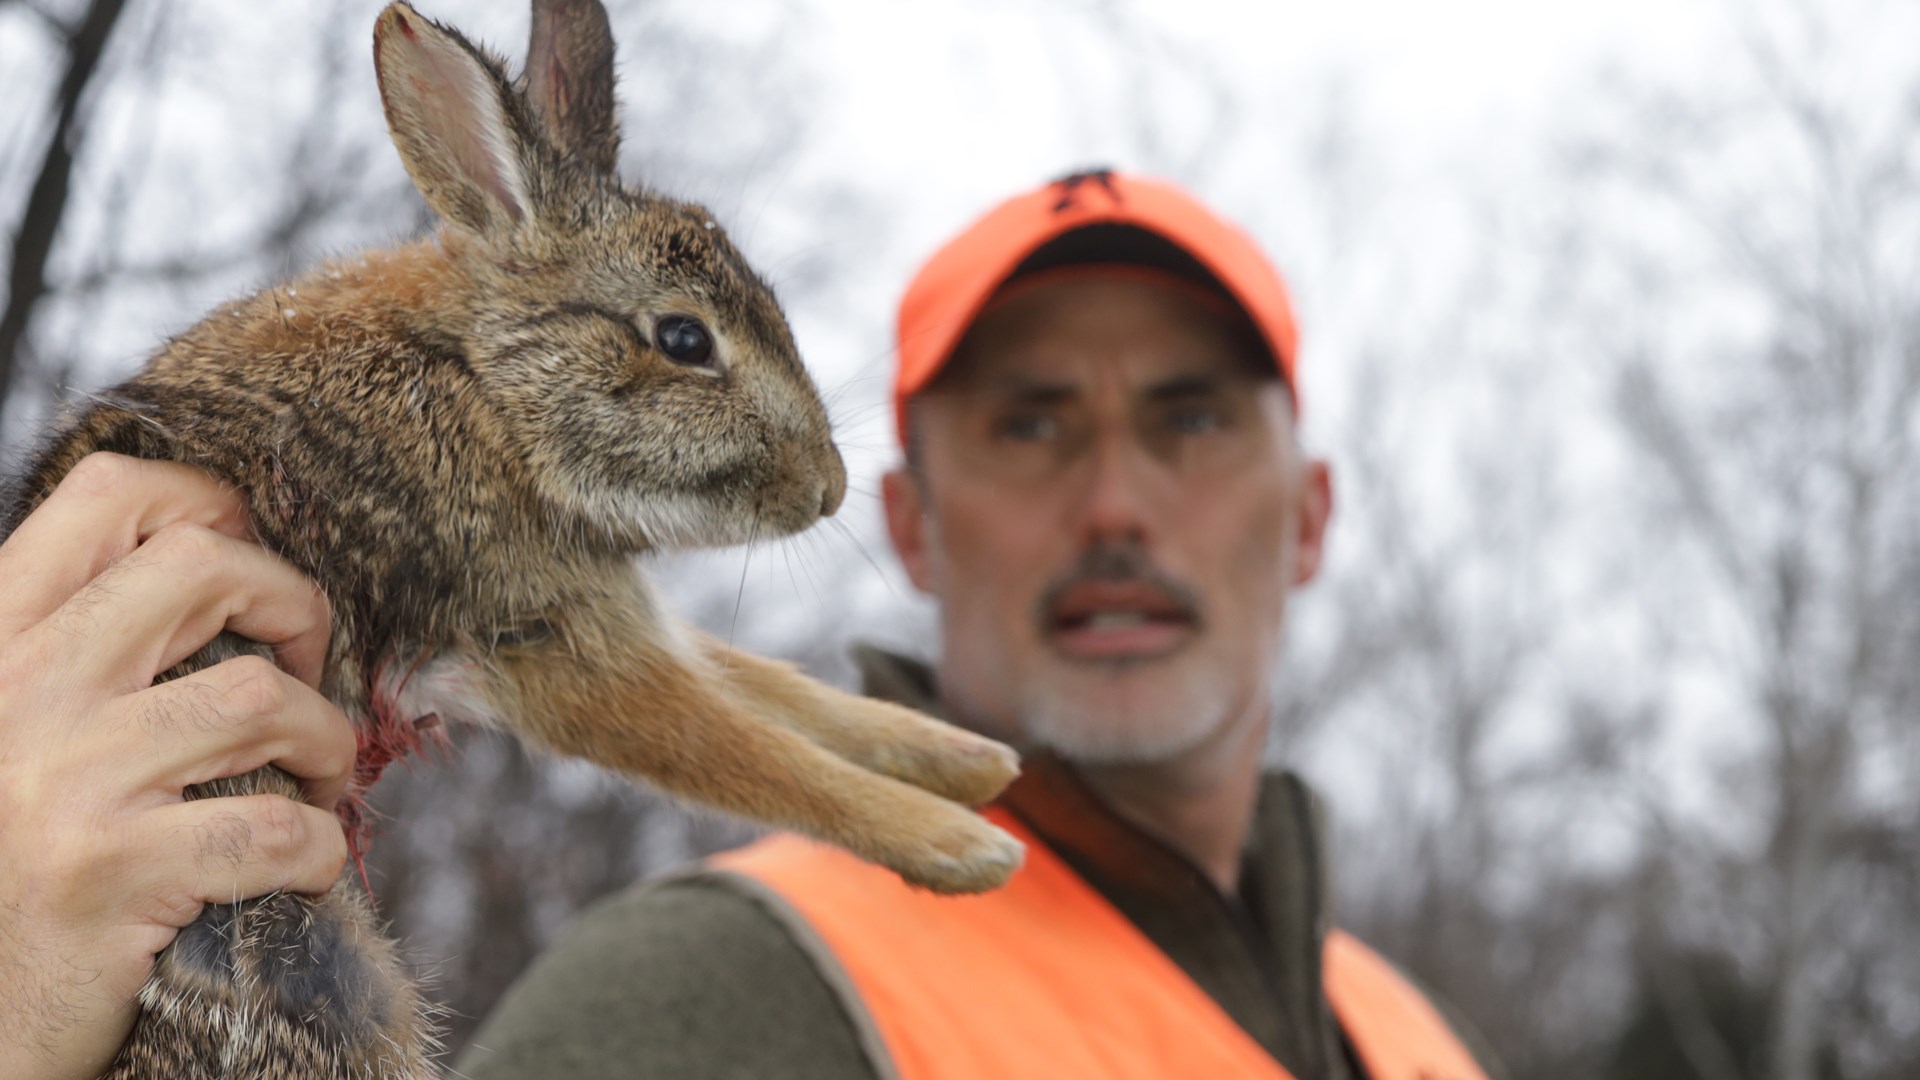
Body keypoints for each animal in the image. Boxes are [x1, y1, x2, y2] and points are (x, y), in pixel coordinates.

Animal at [1, 2, 1026, 1076]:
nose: (827, 491)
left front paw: (968, 761)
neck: (486, 384)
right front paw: (964, 846)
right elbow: (735, 745)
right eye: (684, 340)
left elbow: (775, 692)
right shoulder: (535, 638)